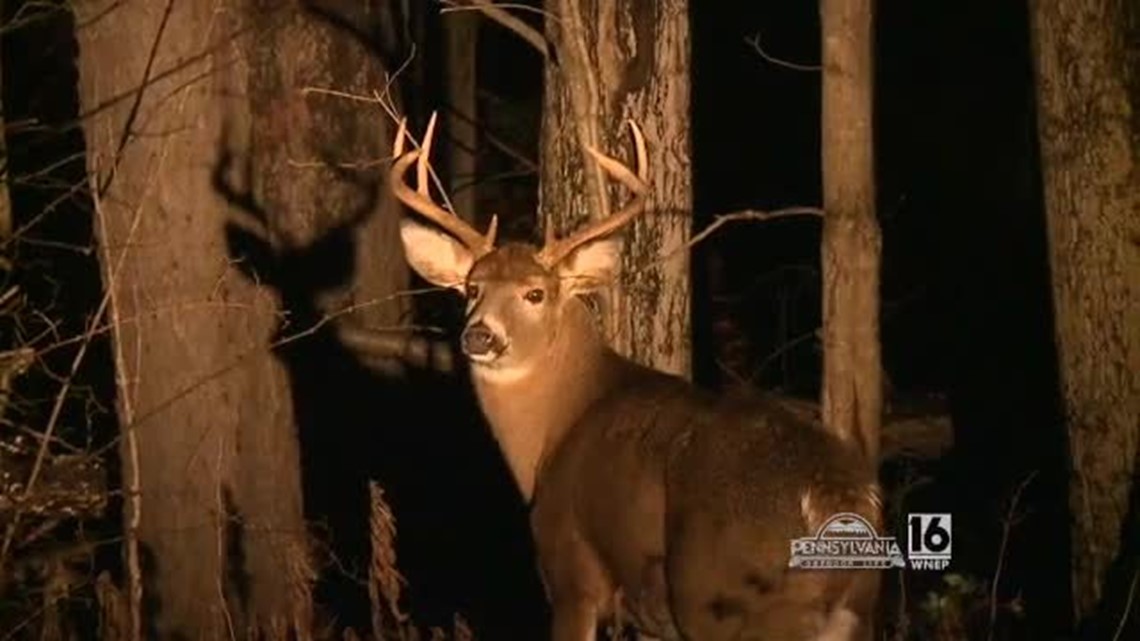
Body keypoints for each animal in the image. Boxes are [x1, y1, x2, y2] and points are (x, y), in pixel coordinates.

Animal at [387, 112, 883, 641]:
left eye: (535, 293)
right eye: (472, 289)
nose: (479, 335)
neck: (553, 430)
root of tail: (838, 497)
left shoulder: (572, 571)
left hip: (719, 595)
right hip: (853, 613)